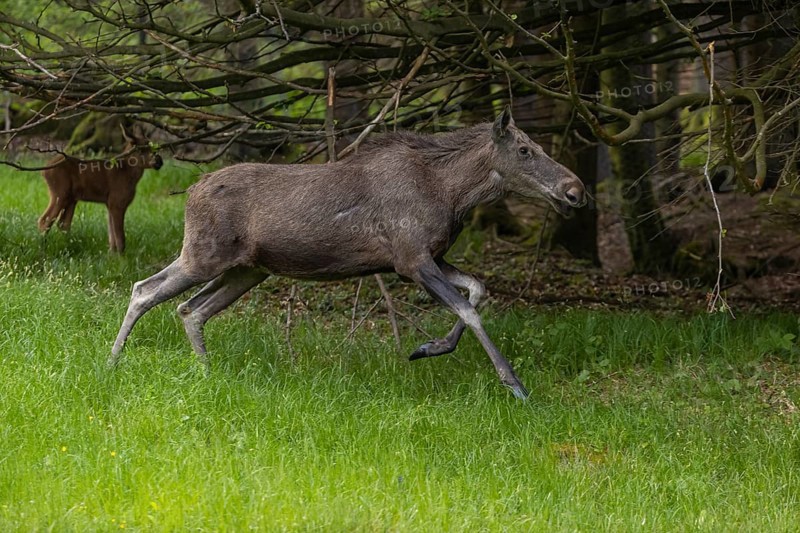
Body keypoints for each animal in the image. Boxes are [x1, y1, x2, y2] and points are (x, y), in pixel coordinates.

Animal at [110, 108, 585, 399]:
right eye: (525, 149)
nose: (575, 190)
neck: (454, 195)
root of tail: (191, 191)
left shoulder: (429, 257)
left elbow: (478, 289)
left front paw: (428, 347)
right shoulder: (412, 260)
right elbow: (470, 309)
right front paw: (515, 384)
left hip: (247, 271)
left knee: (191, 309)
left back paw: (205, 372)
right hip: (204, 255)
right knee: (144, 290)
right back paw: (112, 362)